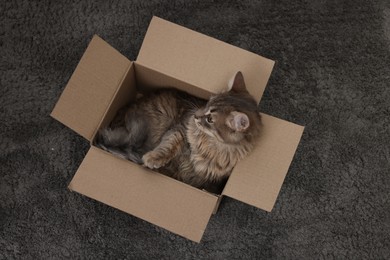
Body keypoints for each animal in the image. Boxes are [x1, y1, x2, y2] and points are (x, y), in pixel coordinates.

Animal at [93, 71, 262, 193]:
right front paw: (152, 159)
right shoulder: (179, 130)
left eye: (210, 119)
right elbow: (167, 147)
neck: (210, 145)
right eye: (207, 103)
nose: (195, 116)